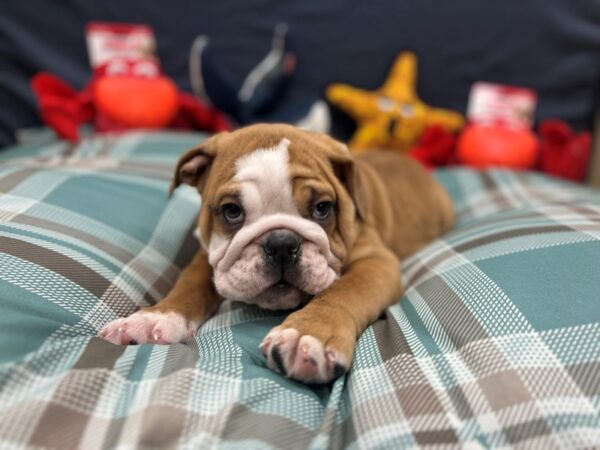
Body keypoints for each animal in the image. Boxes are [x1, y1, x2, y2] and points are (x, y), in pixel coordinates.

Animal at [101, 123, 452, 384]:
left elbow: (343, 291)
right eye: (231, 211)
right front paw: (155, 317)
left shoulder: (375, 261)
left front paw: (307, 335)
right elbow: (190, 282)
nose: (281, 243)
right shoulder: (209, 252)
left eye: (322, 208)